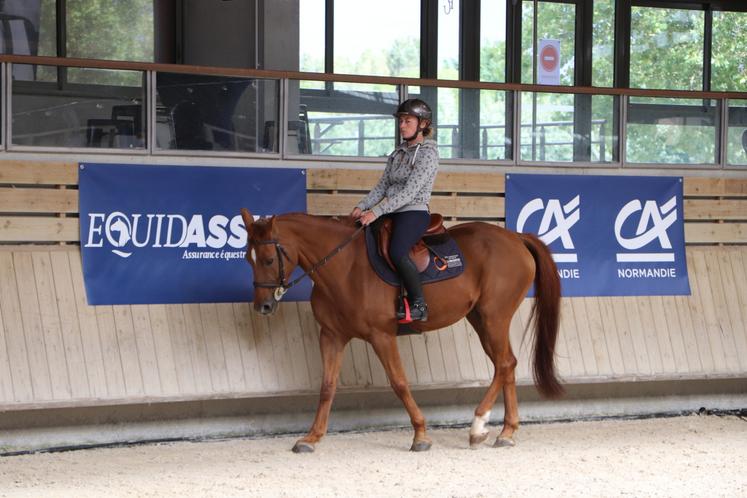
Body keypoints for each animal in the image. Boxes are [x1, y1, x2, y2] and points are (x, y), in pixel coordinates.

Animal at [240, 208, 560, 454]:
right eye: (248, 259)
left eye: (268, 259)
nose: (263, 306)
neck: (345, 267)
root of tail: (515, 237)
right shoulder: (331, 336)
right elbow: (327, 386)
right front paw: (311, 438)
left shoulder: (381, 336)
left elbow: (399, 382)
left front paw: (420, 435)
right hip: (480, 319)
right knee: (507, 365)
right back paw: (506, 432)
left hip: (494, 317)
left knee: (504, 364)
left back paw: (478, 426)